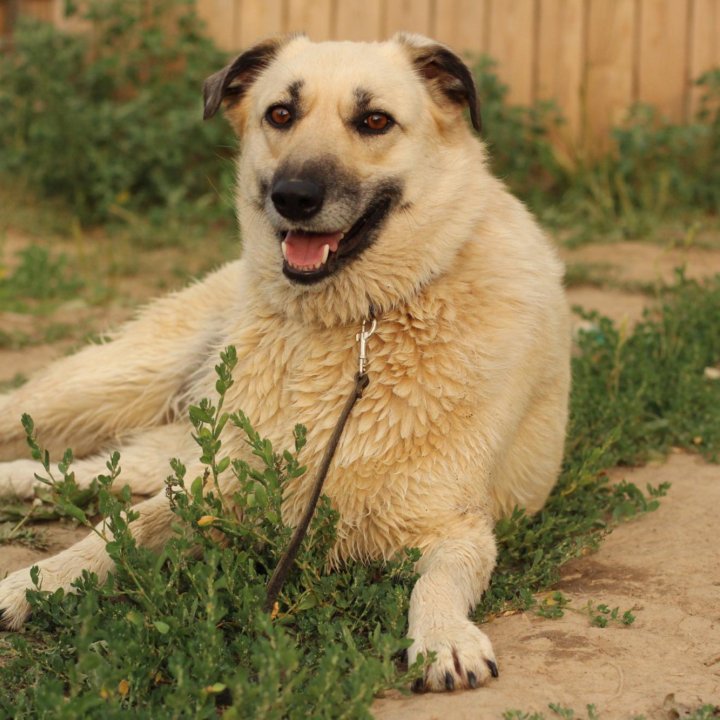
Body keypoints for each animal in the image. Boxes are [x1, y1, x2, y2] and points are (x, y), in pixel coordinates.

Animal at [0, 33, 572, 692]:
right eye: (280, 114)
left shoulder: (457, 529)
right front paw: (35, 583)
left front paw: (444, 638)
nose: (294, 197)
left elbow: (435, 584)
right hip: (106, 388)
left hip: (162, 446)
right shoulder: (212, 494)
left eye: (375, 121)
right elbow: (114, 533)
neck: (356, 326)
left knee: (87, 473)